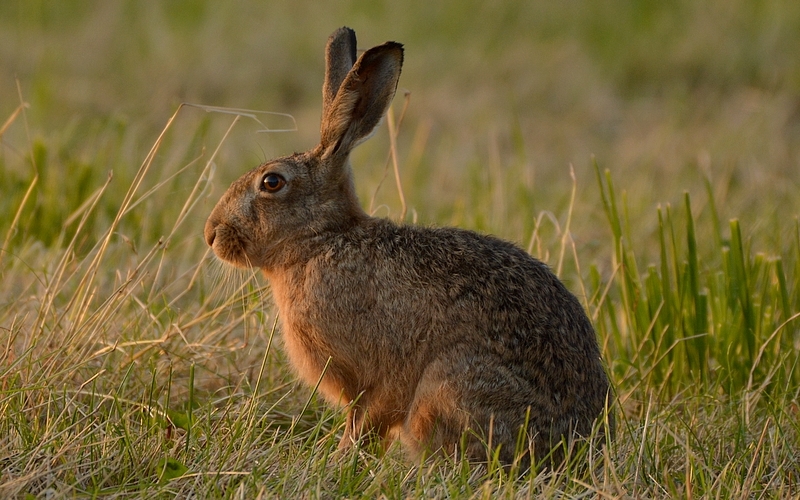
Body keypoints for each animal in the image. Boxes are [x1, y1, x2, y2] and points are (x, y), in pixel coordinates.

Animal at [205, 27, 612, 468]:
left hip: (448, 385)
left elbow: (366, 421)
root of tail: (581, 443)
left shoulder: (380, 376)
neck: (323, 240)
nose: (211, 233)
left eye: (272, 182)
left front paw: (341, 460)